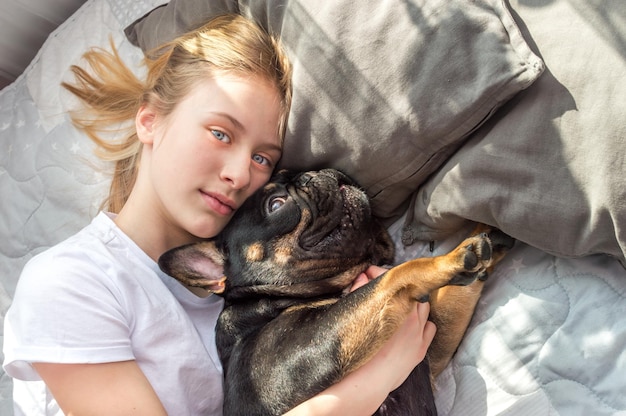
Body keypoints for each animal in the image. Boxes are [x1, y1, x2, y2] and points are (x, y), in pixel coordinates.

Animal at [157, 169, 512, 416]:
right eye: (276, 205)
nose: (313, 173)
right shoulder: (316, 344)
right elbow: (395, 275)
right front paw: (446, 260)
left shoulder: (432, 345)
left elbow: (452, 296)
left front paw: (483, 238)